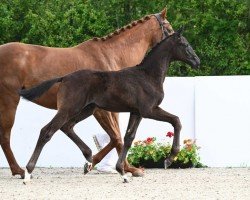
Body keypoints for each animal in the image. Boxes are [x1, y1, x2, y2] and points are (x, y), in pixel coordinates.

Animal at [19, 28, 199, 183]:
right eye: (185, 44)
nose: (197, 61)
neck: (147, 76)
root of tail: (64, 78)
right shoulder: (149, 110)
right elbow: (176, 120)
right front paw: (169, 159)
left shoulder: (136, 112)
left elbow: (128, 138)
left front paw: (122, 172)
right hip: (69, 108)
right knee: (47, 131)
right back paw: (27, 172)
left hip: (86, 109)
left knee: (67, 127)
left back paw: (89, 158)